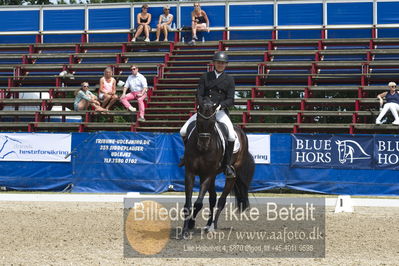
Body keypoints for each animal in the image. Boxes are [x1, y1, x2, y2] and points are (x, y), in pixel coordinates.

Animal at [182, 97, 255, 237]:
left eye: (212, 123)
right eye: (198, 122)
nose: (203, 145)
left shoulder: (207, 174)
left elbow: (198, 203)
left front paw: (191, 225)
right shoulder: (190, 172)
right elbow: (188, 204)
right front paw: (185, 229)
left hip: (230, 175)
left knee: (221, 200)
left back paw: (212, 226)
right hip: (213, 175)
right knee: (213, 199)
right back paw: (207, 225)